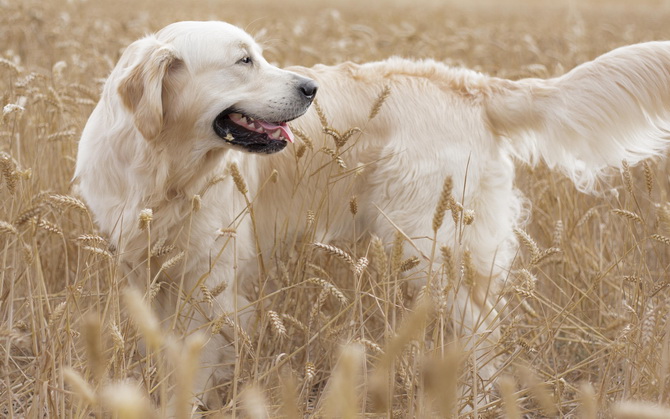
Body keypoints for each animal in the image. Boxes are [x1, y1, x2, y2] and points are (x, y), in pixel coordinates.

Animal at [76, 19, 670, 410]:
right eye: (244, 61)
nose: (310, 87)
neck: (162, 169)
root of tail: (471, 84)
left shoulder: (210, 282)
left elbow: (195, 361)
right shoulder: (145, 270)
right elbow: (162, 351)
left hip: (432, 248)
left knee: (482, 338)